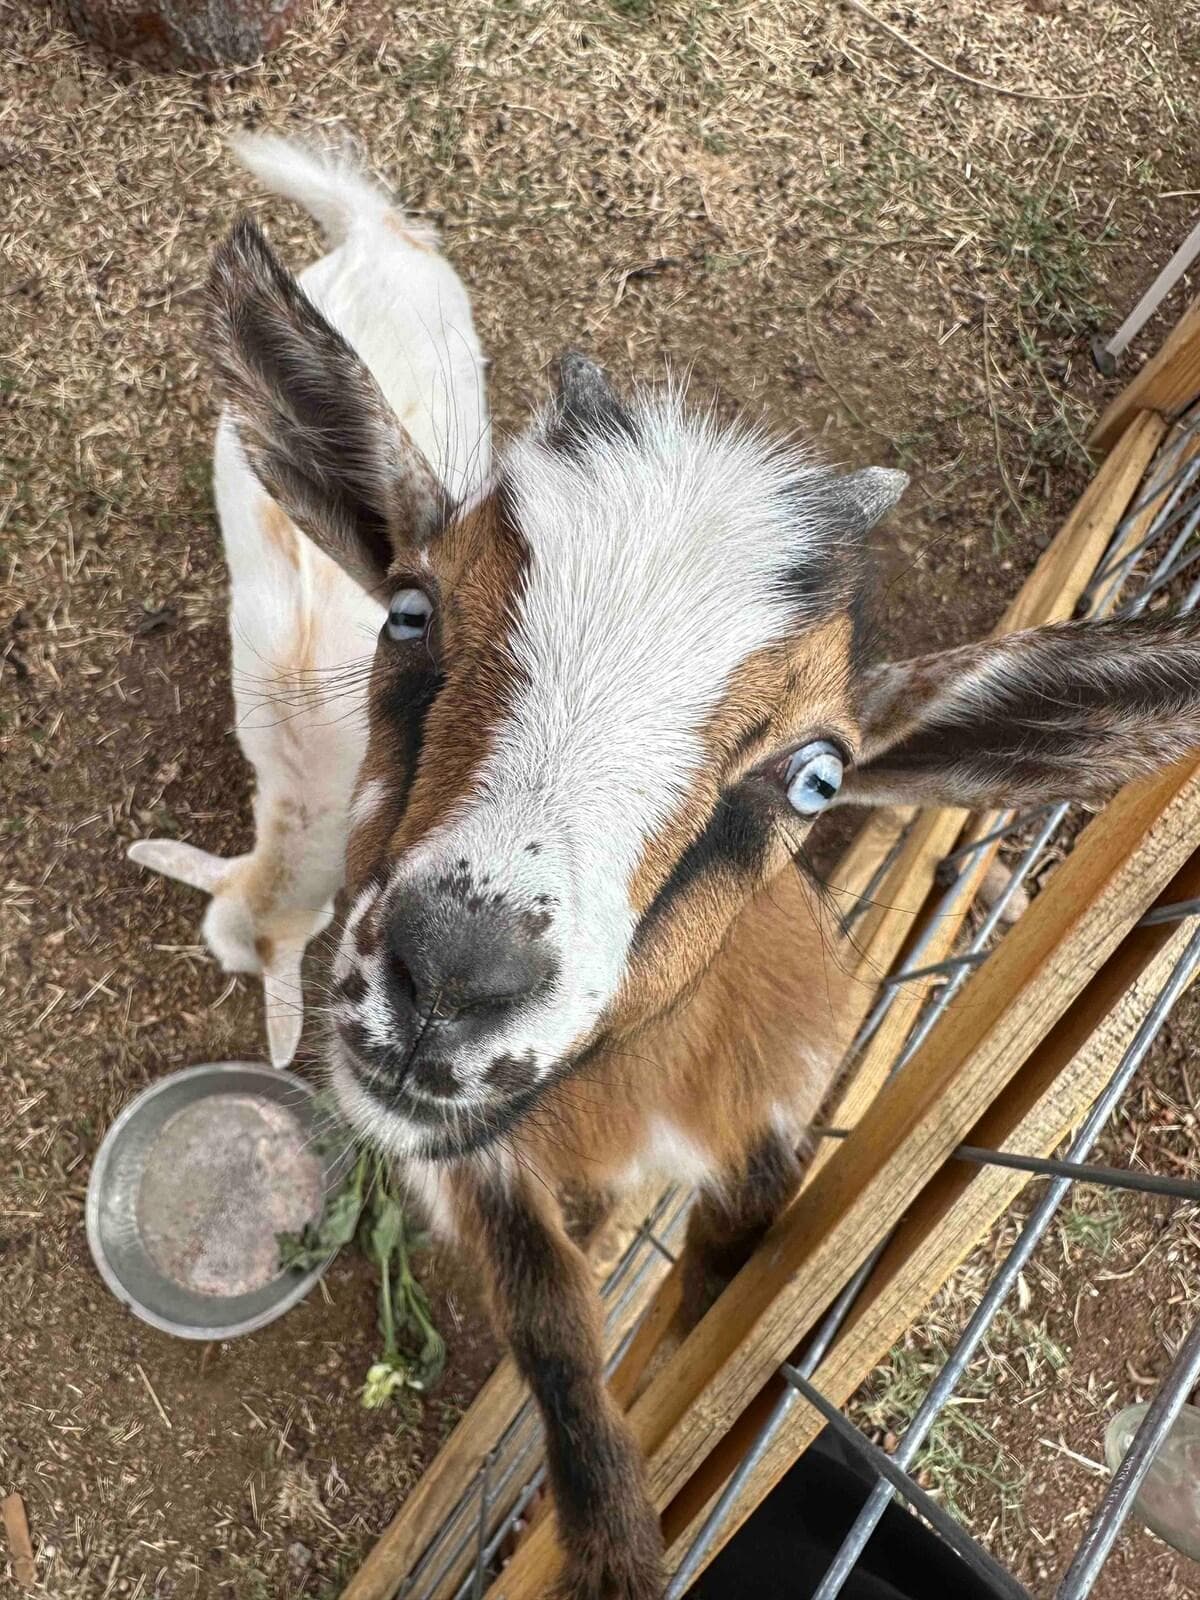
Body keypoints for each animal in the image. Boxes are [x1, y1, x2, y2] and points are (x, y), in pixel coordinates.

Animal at [202, 140, 1200, 1600]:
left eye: (817, 777)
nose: (450, 979)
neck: (627, 1103)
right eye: (412, 609)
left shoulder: (772, 1118)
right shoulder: (486, 1173)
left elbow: (734, 1281)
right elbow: (567, 1366)